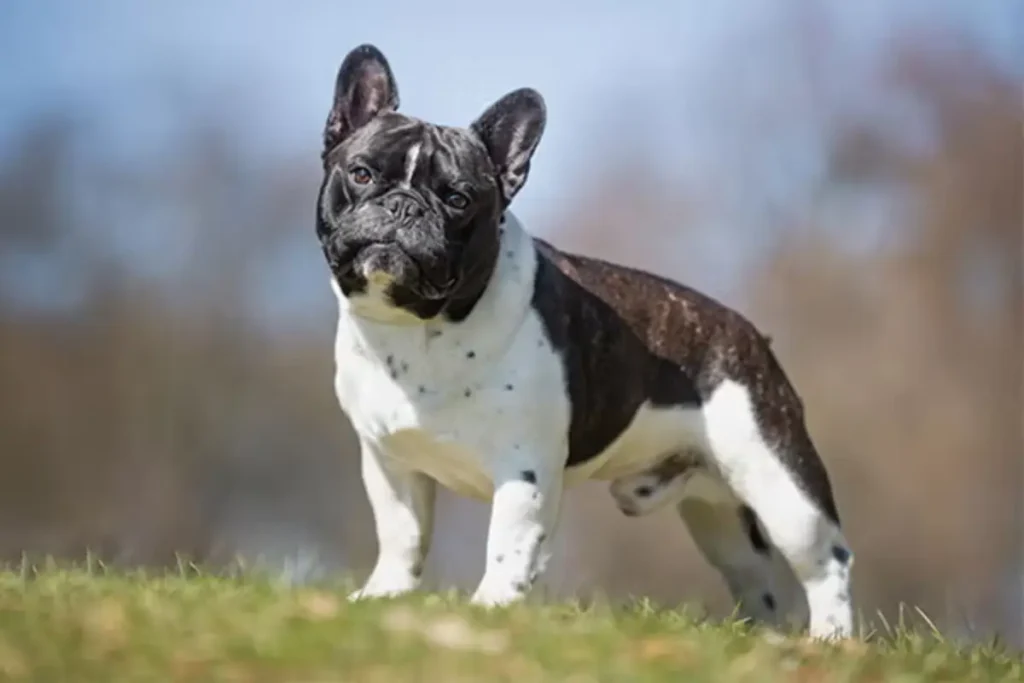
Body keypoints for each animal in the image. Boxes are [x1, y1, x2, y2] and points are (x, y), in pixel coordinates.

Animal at [313, 44, 856, 643]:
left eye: (456, 198)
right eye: (362, 174)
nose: (404, 206)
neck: (418, 329)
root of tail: (752, 336)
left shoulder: (524, 468)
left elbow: (508, 544)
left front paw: (490, 608)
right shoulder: (389, 460)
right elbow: (402, 535)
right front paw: (383, 596)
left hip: (780, 482)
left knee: (827, 563)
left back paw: (832, 641)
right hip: (718, 515)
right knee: (756, 576)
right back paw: (765, 639)